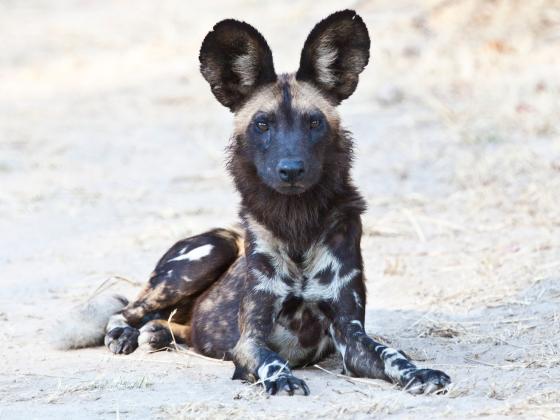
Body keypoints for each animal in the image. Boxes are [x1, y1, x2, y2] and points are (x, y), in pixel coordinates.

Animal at [101, 10, 450, 398]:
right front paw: (283, 379)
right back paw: (124, 334)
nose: (291, 169)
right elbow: (272, 359)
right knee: (128, 309)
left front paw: (419, 372)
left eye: (313, 122)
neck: (296, 224)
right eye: (262, 124)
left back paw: (158, 333)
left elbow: (390, 354)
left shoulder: (350, 333)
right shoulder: (250, 339)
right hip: (209, 253)